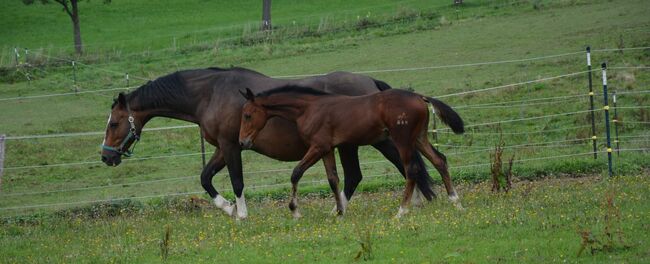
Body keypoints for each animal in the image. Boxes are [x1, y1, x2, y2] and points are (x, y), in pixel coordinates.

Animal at [98, 67, 432, 219]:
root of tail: (371, 83)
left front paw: (241, 213)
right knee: (376, 172)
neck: (209, 94)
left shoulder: (231, 146)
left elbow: (236, 181)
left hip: (370, 142)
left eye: (113, 123)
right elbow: (205, 178)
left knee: (393, 167)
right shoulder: (222, 148)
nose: (106, 157)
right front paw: (228, 209)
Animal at [240, 85, 464, 218]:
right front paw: (339, 211)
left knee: (411, 170)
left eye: (248, 115)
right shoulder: (327, 149)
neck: (309, 108)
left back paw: (401, 211)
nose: (242, 142)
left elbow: (296, 173)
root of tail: (419, 96)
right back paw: (456, 202)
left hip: (402, 139)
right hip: (418, 138)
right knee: (440, 160)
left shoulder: (318, 147)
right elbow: (333, 178)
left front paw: (295, 211)